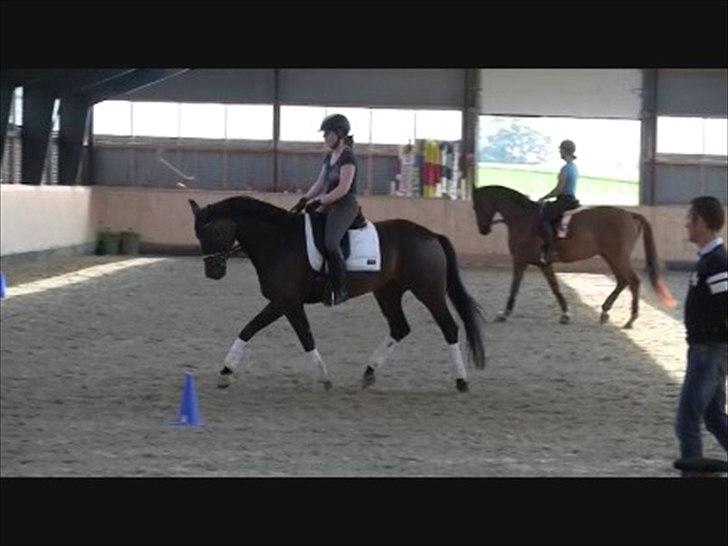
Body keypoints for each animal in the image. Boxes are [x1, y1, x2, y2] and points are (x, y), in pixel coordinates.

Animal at [189, 196, 484, 392]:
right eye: (198, 236)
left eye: (215, 232)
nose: (213, 272)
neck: (278, 240)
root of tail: (431, 234)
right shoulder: (288, 303)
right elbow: (291, 335)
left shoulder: (285, 301)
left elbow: (259, 330)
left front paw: (226, 371)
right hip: (388, 291)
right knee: (400, 327)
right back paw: (369, 372)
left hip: (428, 291)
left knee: (449, 327)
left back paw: (461, 381)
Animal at [472, 185, 676, 328]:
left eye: (476, 206)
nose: (483, 230)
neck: (522, 218)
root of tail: (630, 214)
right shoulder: (543, 264)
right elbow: (554, 287)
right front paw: (565, 314)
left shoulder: (520, 260)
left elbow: (514, 287)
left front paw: (504, 314)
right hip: (611, 256)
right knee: (622, 281)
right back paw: (605, 312)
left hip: (617, 256)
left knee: (633, 281)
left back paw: (630, 319)